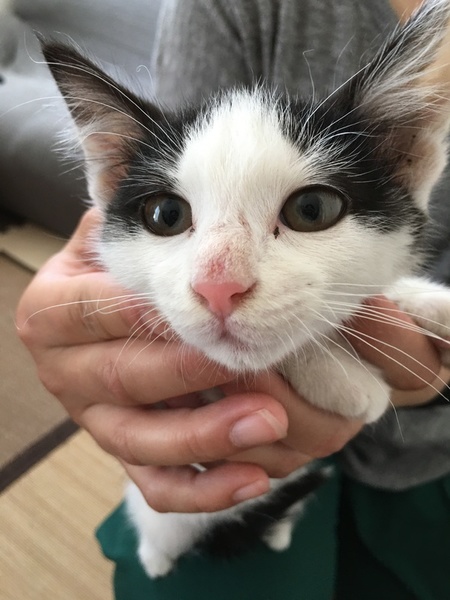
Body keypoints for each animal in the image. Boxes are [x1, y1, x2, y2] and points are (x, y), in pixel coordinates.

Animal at [41, 0, 450, 579]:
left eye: (312, 210)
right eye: (166, 215)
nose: (218, 287)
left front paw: (424, 298)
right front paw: (337, 374)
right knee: (162, 531)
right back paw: (157, 558)